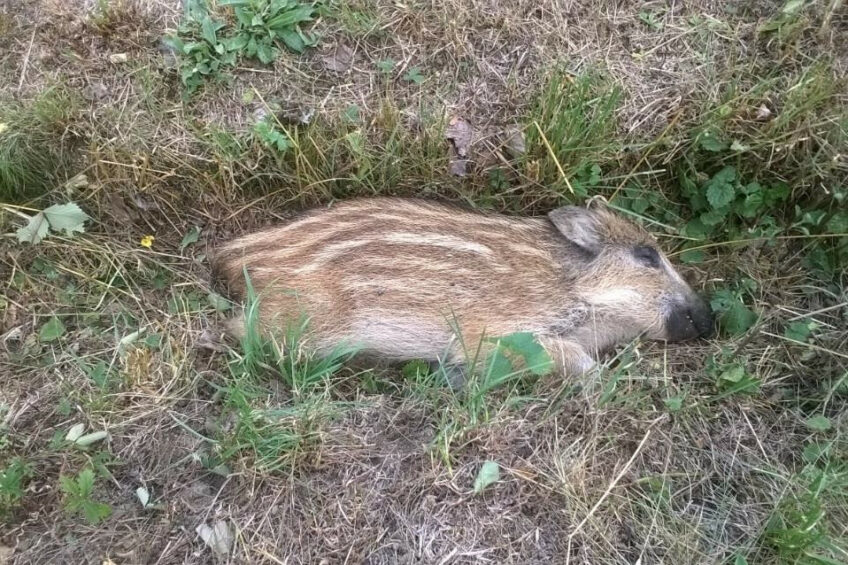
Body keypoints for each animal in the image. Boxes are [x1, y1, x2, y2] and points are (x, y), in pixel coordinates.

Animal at [212, 197, 713, 377]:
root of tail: (232, 254)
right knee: (240, 332)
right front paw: (598, 379)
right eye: (647, 255)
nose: (712, 318)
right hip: (302, 323)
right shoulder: (487, 331)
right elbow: (572, 360)